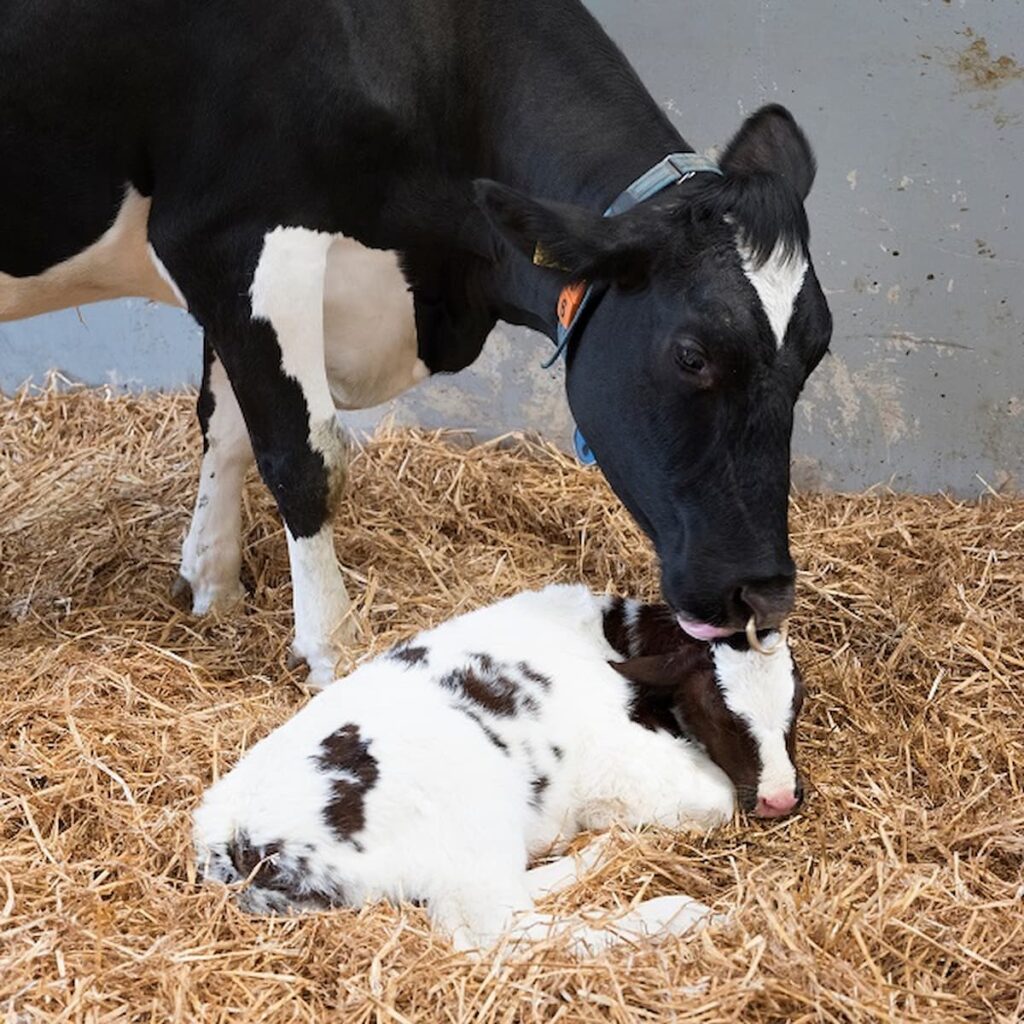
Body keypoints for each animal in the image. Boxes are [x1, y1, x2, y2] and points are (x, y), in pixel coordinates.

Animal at [2, 4, 831, 688]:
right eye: (693, 356)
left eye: (817, 352)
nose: (764, 595)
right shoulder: (236, 236)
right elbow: (305, 458)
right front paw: (333, 649)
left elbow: (226, 428)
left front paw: (212, 586)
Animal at [190, 585, 798, 950]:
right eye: (719, 711)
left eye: (799, 701)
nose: (782, 798)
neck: (603, 637)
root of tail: (233, 839)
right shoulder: (619, 756)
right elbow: (716, 798)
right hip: (469, 826)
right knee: (505, 929)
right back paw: (678, 913)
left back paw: (600, 854)